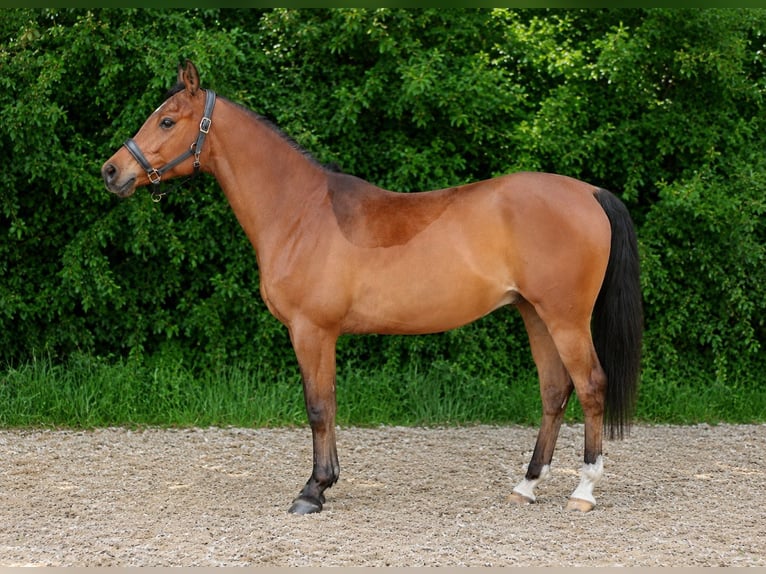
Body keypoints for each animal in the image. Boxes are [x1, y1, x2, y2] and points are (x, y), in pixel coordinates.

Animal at [102, 60, 643, 515]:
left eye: (167, 121)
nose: (112, 171)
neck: (300, 212)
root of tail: (588, 192)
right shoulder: (321, 335)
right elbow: (329, 404)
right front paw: (325, 482)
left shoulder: (311, 331)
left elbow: (319, 408)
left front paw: (313, 491)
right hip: (534, 313)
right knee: (554, 391)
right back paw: (526, 485)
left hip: (565, 317)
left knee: (591, 386)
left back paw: (583, 491)